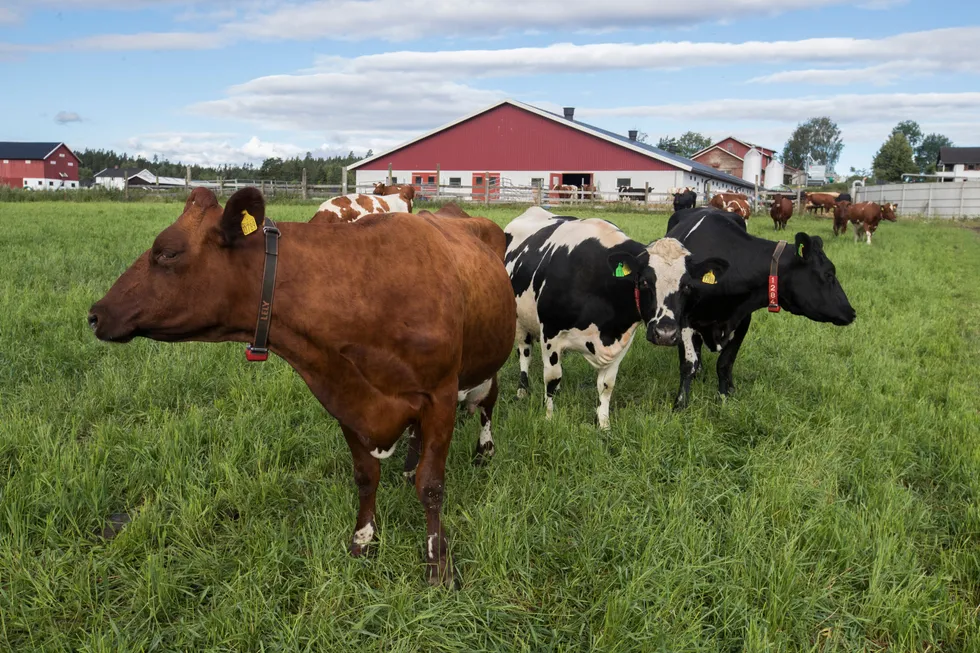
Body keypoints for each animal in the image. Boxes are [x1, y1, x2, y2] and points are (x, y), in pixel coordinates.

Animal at [88, 185, 516, 584]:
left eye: (167, 253)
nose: (94, 314)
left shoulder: (439, 394)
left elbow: (432, 486)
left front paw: (438, 564)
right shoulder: (345, 396)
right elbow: (366, 477)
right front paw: (363, 539)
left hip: (491, 360)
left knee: (488, 404)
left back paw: (485, 450)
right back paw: (410, 464)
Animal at [506, 204, 728, 428]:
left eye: (687, 286)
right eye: (644, 282)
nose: (665, 334)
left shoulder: (622, 340)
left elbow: (607, 385)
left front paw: (604, 425)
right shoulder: (551, 334)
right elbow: (552, 379)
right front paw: (549, 418)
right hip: (519, 322)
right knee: (525, 353)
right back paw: (522, 390)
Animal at [664, 209, 852, 410]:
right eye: (829, 274)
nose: (851, 312)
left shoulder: (743, 319)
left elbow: (725, 363)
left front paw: (724, 397)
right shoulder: (683, 319)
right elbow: (688, 364)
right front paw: (680, 404)